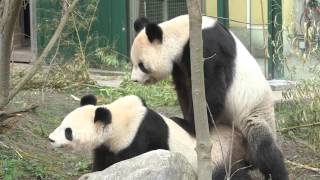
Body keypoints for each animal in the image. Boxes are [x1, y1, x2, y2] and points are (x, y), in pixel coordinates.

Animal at [48, 95, 252, 179]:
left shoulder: (141, 138)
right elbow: (102, 161)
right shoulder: (106, 145)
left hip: (220, 158)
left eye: (68, 131)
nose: (51, 138)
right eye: (62, 123)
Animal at [129, 14, 288, 179]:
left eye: (141, 65)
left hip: (255, 113)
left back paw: (277, 172)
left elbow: (211, 90)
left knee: (265, 150)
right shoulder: (180, 65)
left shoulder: (208, 48)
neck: (182, 33)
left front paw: (189, 125)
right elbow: (186, 90)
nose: (134, 80)